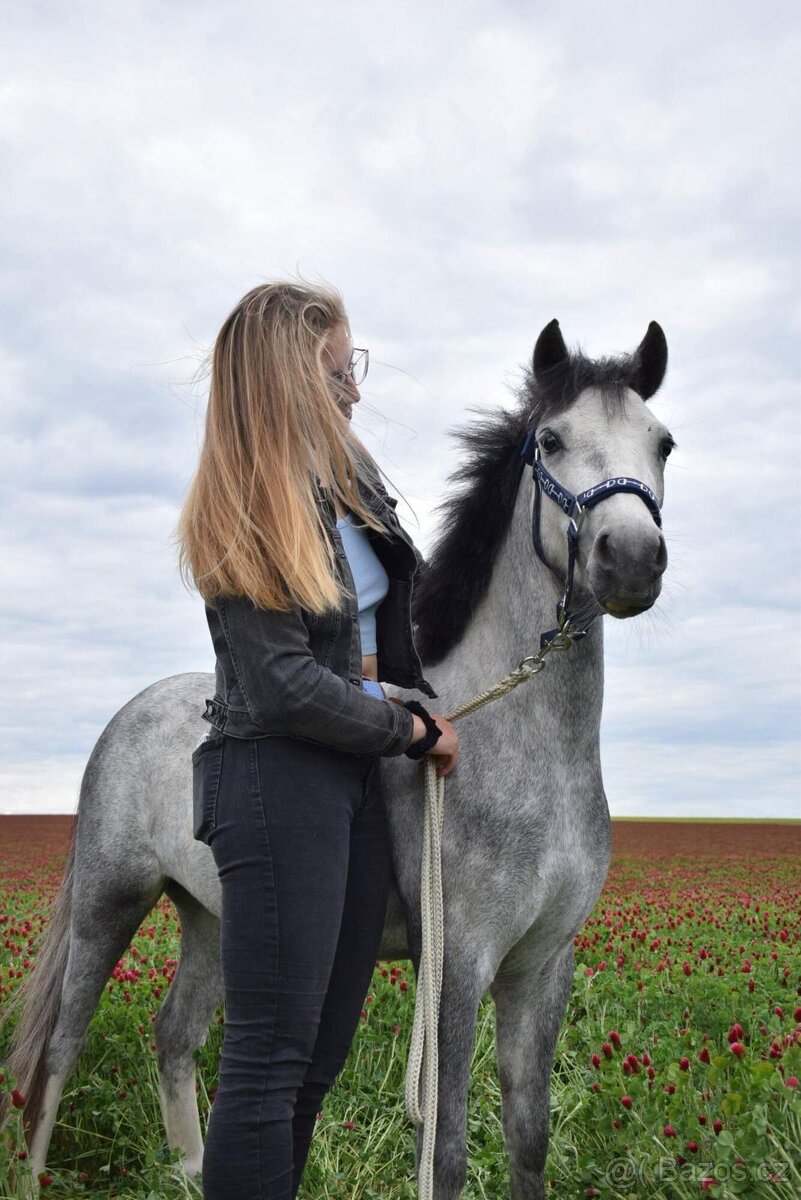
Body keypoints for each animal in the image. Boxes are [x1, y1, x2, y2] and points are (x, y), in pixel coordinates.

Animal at [1, 318, 673, 1198]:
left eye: (662, 443)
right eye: (551, 441)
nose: (629, 557)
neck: (526, 756)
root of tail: (131, 712)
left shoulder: (542, 965)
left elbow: (529, 1136)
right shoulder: (456, 965)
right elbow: (445, 1149)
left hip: (213, 917)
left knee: (174, 1032)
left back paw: (190, 1168)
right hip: (110, 904)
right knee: (57, 1050)